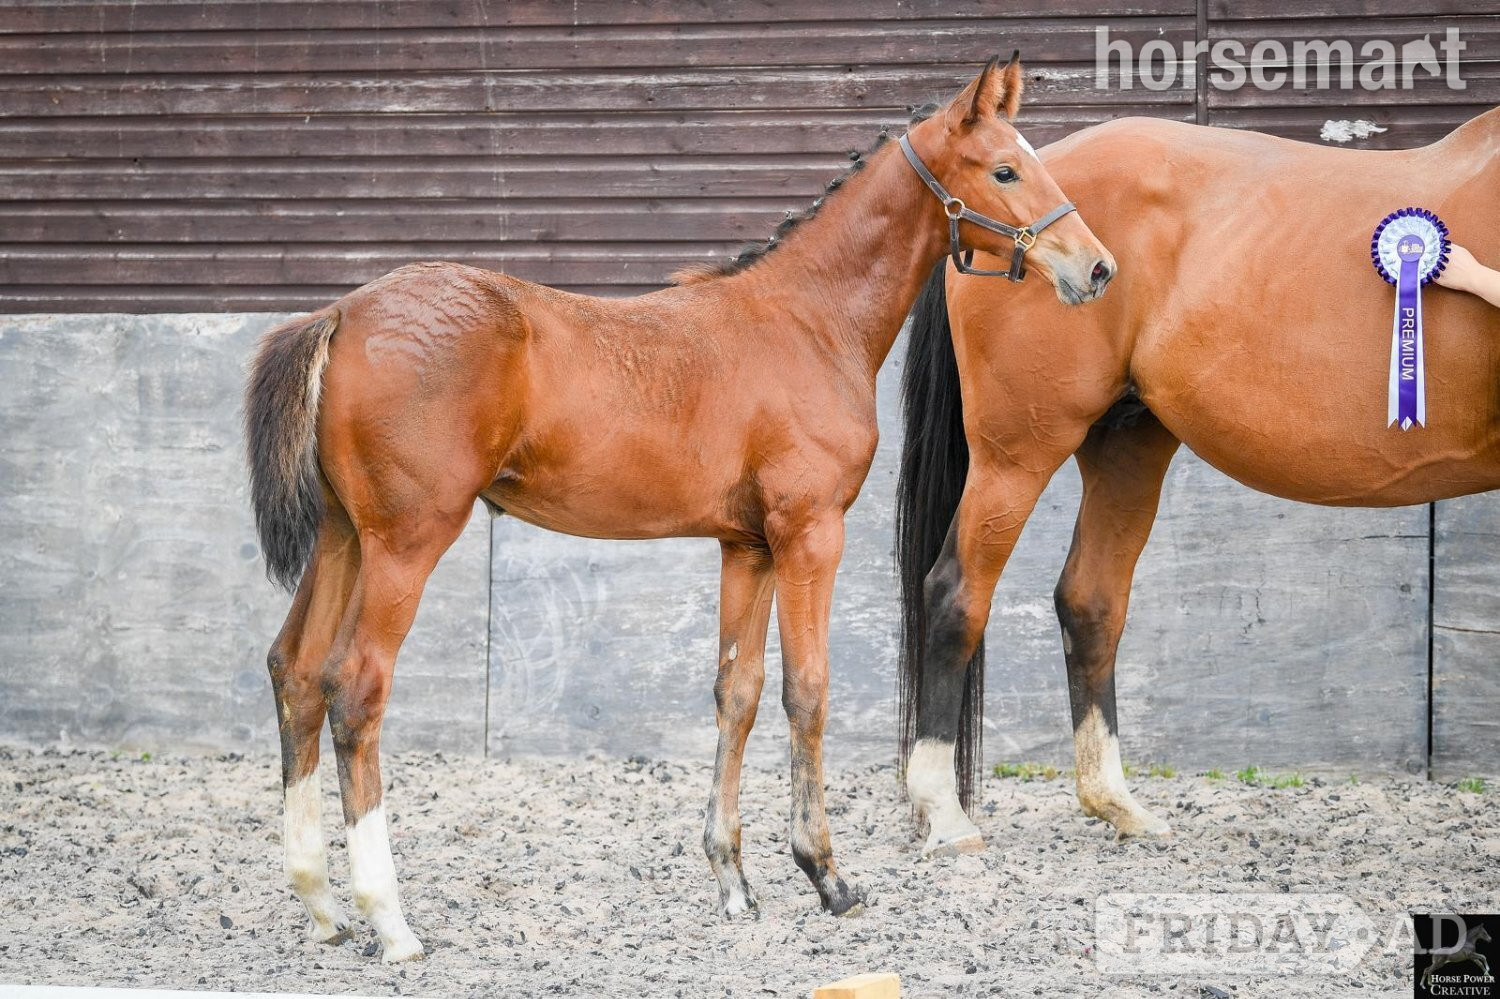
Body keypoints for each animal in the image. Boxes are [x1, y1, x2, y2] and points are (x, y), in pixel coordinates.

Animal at [245, 55, 1113, 961]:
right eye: (1005, 169)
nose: (1096, 269)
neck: (808, 320)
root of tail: (340, 313)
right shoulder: (810, 532)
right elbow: (809, 688)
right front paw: (826, 874)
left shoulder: (748, 546)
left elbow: (739, 690)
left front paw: (733, 879)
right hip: (405, 543)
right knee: (356, 688)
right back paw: (389, 916)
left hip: (344, 538)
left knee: (296, 670)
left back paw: (322, 902)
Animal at [893, 109, 1500, 856]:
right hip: (1016, 455)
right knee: (957, 595)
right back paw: (945, 814)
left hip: (1128, 444)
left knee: (1090, 602)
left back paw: (1119, 805)